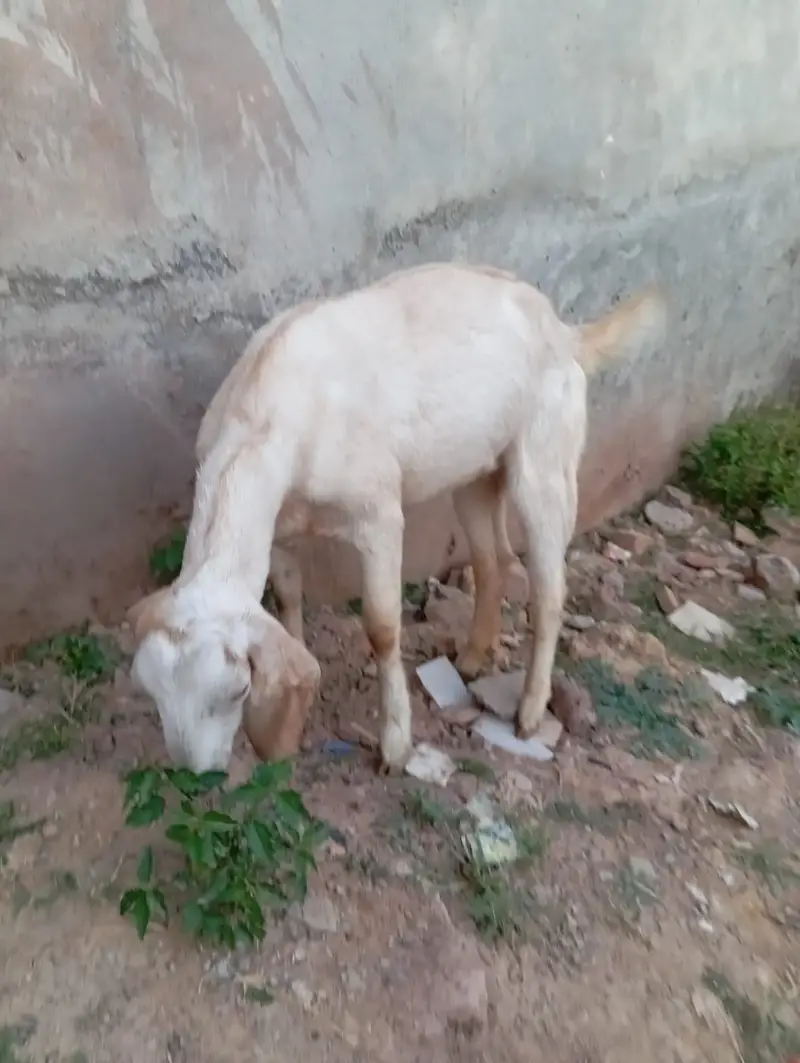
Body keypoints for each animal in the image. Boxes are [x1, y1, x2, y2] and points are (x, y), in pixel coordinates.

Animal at [128, 262, 666, 774]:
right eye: (151, 692)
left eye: (237, 691)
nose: (194, 774)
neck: (271, 416)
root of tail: (564, 329)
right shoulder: (279, 530)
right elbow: (286, 597)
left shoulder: (379, 514)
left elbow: (383, 627)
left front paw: (395, 745)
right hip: (475, 472)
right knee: (492, 558)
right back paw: (472, 659)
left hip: (547, 459)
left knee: (549, 588)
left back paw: (530, 711)